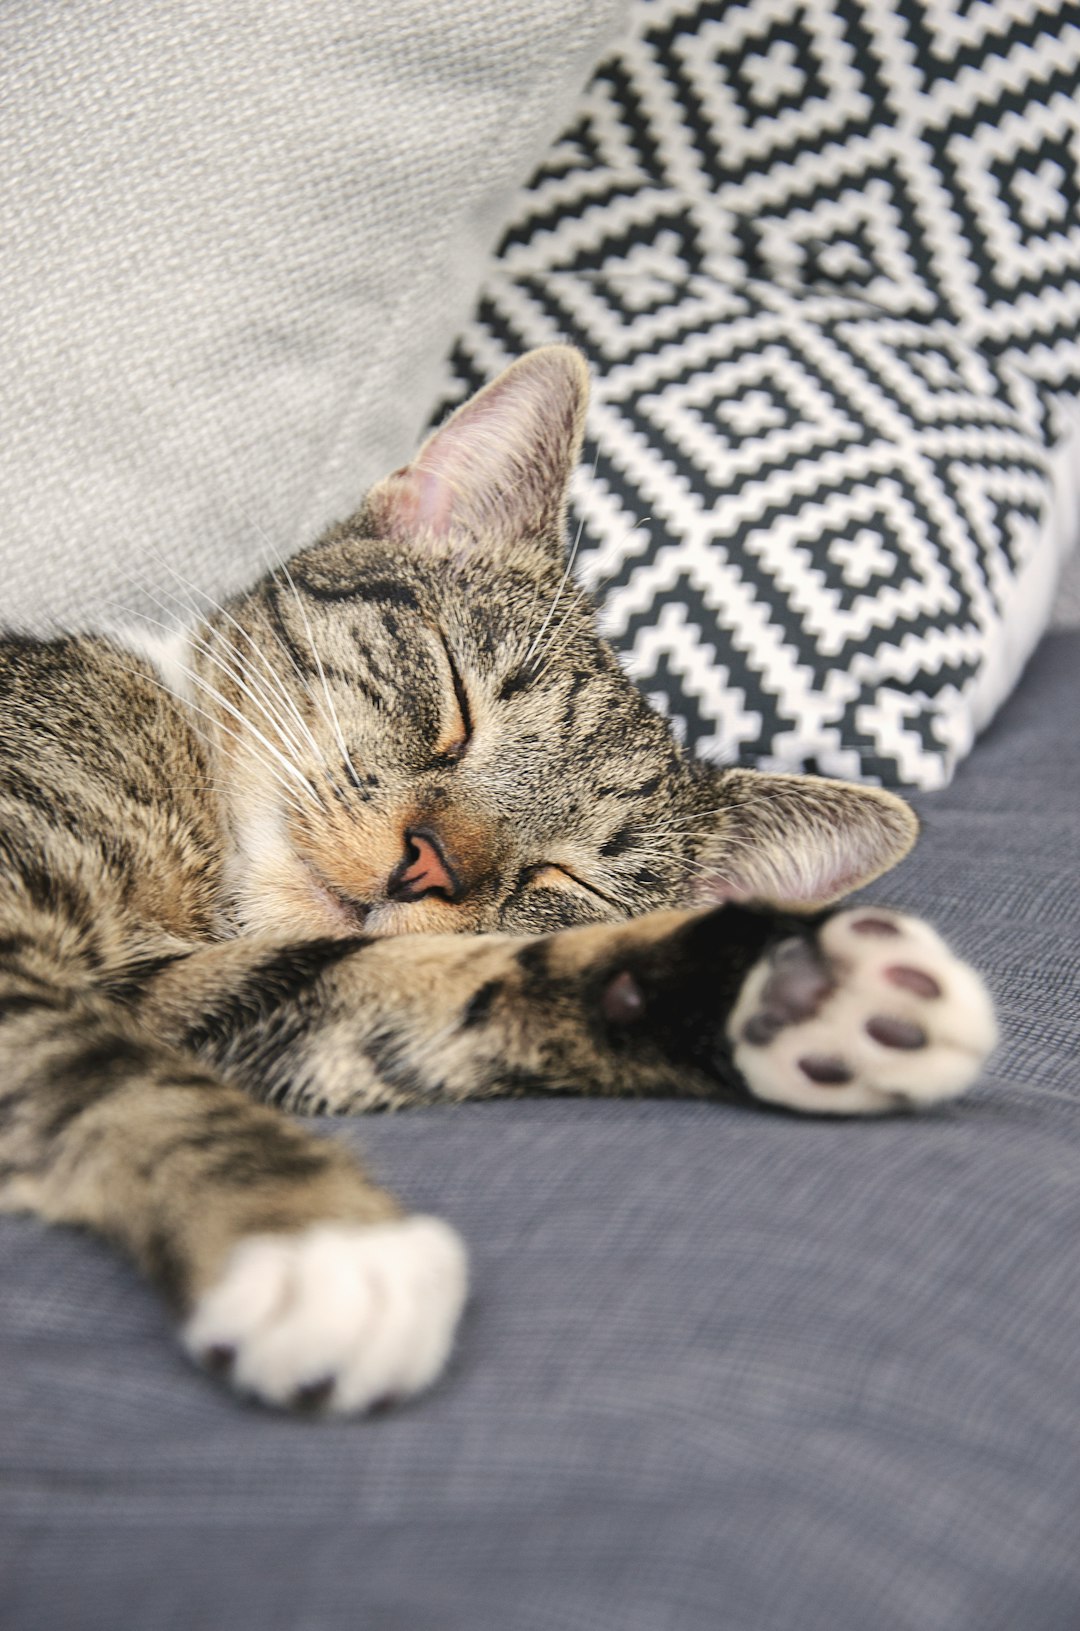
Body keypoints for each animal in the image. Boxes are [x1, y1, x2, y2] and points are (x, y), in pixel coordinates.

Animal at [0, 347, 998, 1415]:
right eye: (456, 699)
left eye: (567, 875)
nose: (428, 861)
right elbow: (113, 1068)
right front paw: (314, 1238)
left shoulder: (185, 986)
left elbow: (401, 986)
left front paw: (794, 989)